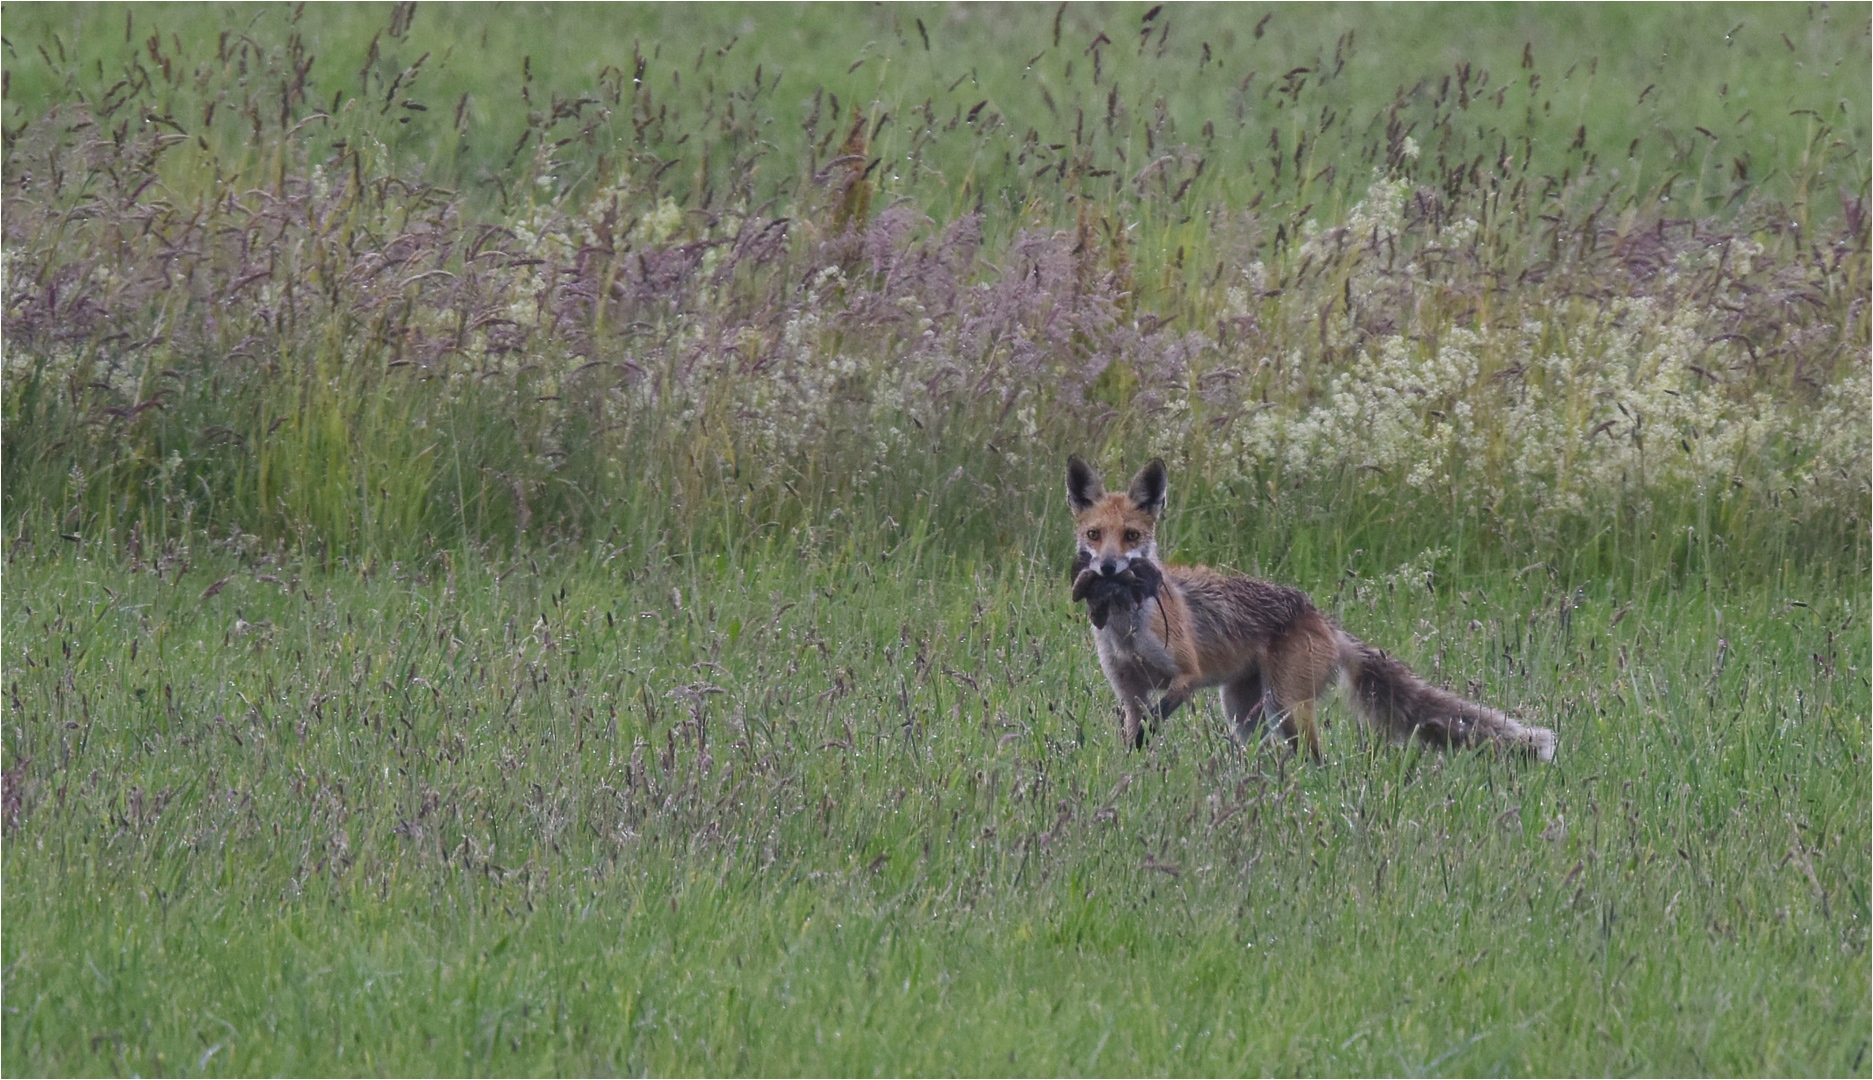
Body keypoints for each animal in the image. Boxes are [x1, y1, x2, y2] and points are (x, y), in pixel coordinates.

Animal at [1071, 454, 1550, 756]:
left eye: (1131, 535)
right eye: (1094, 534)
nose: (1109, 568)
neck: (1126, 627)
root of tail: (1322, 617)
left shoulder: (1186, 676)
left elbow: (1153, 721)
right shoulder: (1129, 692)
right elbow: (1137, 730)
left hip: (1287, 707)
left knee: (1315, 760)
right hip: (1245, 712)